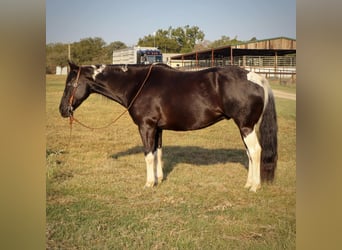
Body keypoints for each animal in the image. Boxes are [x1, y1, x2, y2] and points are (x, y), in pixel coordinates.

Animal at [59, 61, 278, 192]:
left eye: (70, 84)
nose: (62, 110)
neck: (137, 84)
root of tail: (257, 78)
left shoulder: (146, 126)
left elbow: (148, 155)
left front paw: (149, 183)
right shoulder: (158, 128)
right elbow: (158, 153)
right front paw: (159, 179)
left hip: (246, 126)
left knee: (256, 151)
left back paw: (255, 186)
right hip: (245, 128)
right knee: (249, 154)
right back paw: (248, 183)